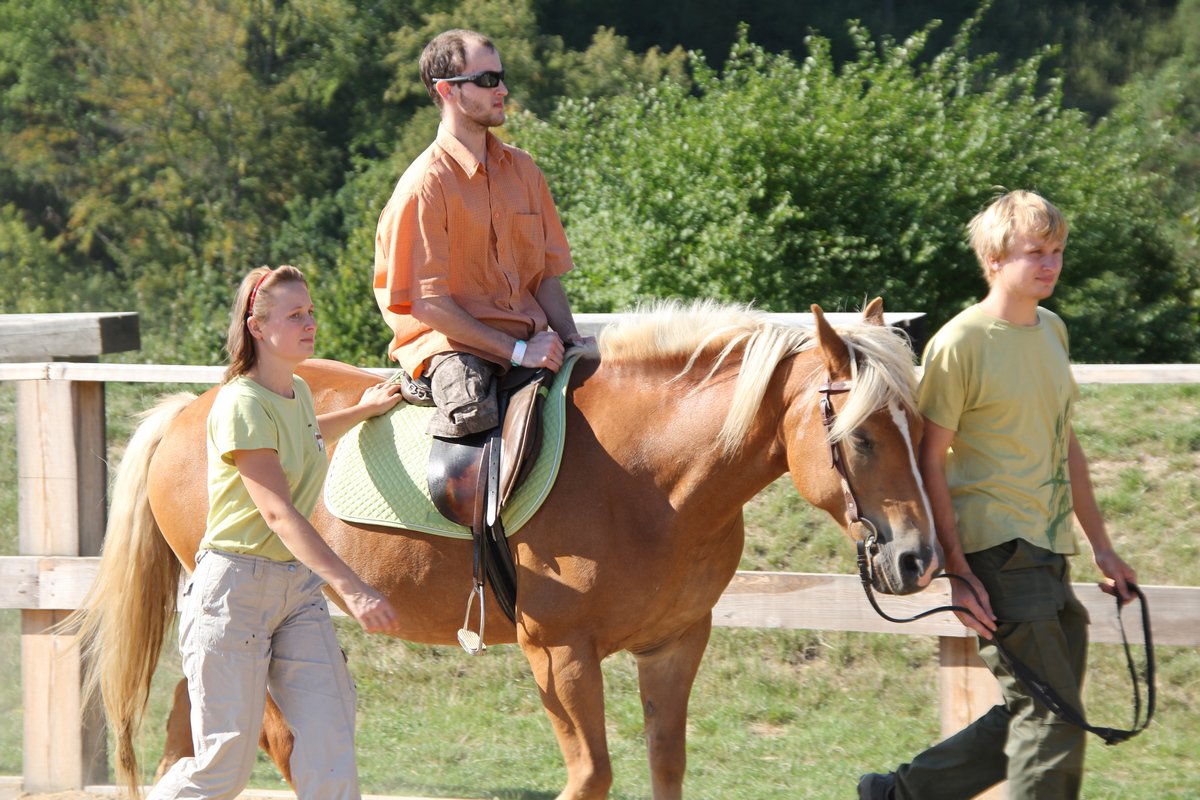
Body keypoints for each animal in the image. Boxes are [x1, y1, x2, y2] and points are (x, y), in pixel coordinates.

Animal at [72, 298, 939, 800]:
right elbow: (591, 777)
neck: (646, 474)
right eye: (860, 437)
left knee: (192, 732)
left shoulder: (673, 645)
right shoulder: (558, 653)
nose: (915, 559)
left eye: (921, 428)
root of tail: (194, 409)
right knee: (272, 739)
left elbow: (665, 769)